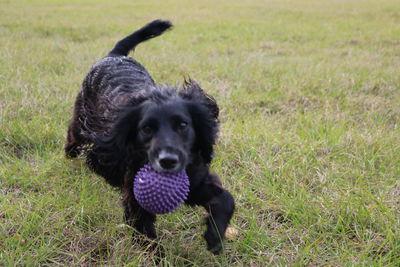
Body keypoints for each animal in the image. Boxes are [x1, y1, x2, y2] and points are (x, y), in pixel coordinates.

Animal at [64, 19, 234, 254]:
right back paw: (70, 152)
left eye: (183, 125)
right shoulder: (135, 198)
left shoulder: (195, 181)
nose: (168, 161)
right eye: (146, 129)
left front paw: (215, 236)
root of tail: (114, 55)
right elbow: (146, 235)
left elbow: (226, 199)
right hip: (82, 117)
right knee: (74, 132)